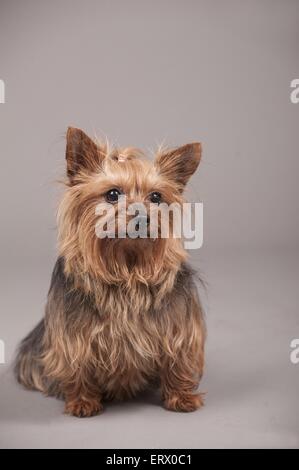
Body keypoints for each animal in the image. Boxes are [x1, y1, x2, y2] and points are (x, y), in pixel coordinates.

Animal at [14, 126, 206, 416]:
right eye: (113, 195)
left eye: (156, 197)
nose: (143, 217)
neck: (127, 268)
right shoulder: (73, 337)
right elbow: (77, 363)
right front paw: (82, 401)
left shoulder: (179, 327)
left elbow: (179, 357)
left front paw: (181, 396)